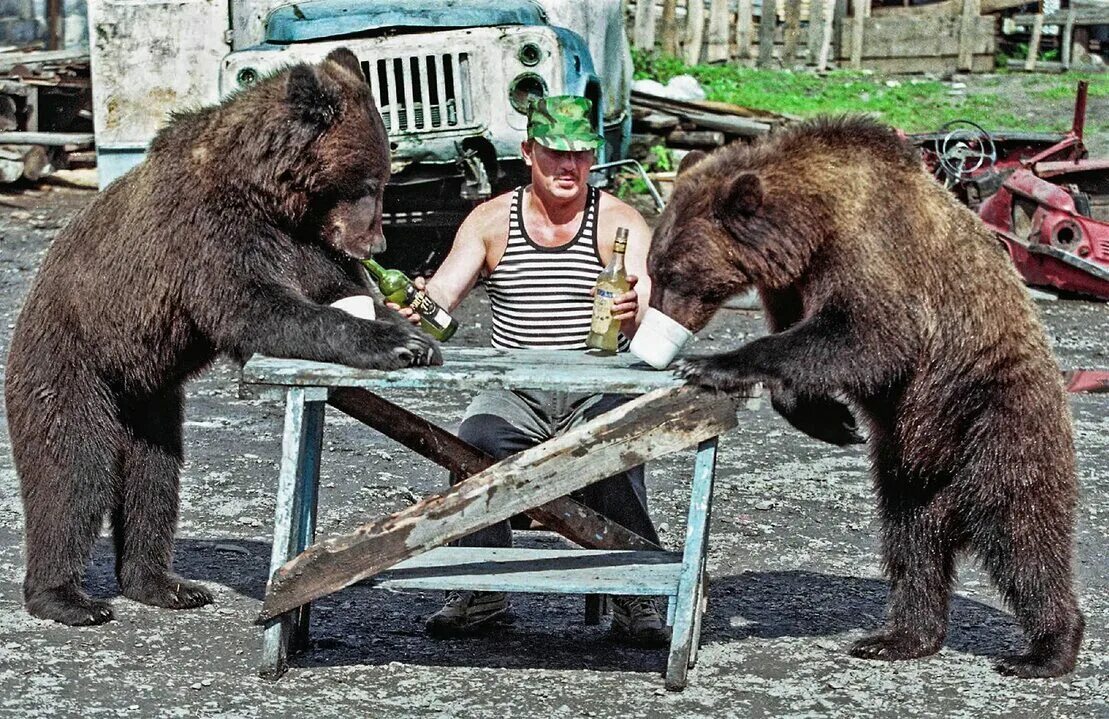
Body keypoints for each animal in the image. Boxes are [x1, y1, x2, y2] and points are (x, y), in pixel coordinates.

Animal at [7, 47, 441, 625]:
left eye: (385, 178)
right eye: (371, 183)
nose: (378, 242)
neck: (266, 195)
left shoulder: (302, 243)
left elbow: (336, 288)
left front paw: (412, 328)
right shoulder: (207, 234)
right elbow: (258, 309)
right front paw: (399, 343)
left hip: (150, 400)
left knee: (154, 479)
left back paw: (166, 585)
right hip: (71, 365)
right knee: (74, 472)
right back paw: (67, 598)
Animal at [647, 115, 1082, 679]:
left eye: (672, 272)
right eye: (654, 266)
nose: (654, 326)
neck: (811, 227)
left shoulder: (872, 249)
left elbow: (872, 337)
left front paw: (710, 363)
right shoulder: (791, 283)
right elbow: (806, 342)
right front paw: (831, 418)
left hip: (994, 415)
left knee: (1021, 529)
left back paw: (1046, 649)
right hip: (908, 466)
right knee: (911, 542)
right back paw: (899, 636)